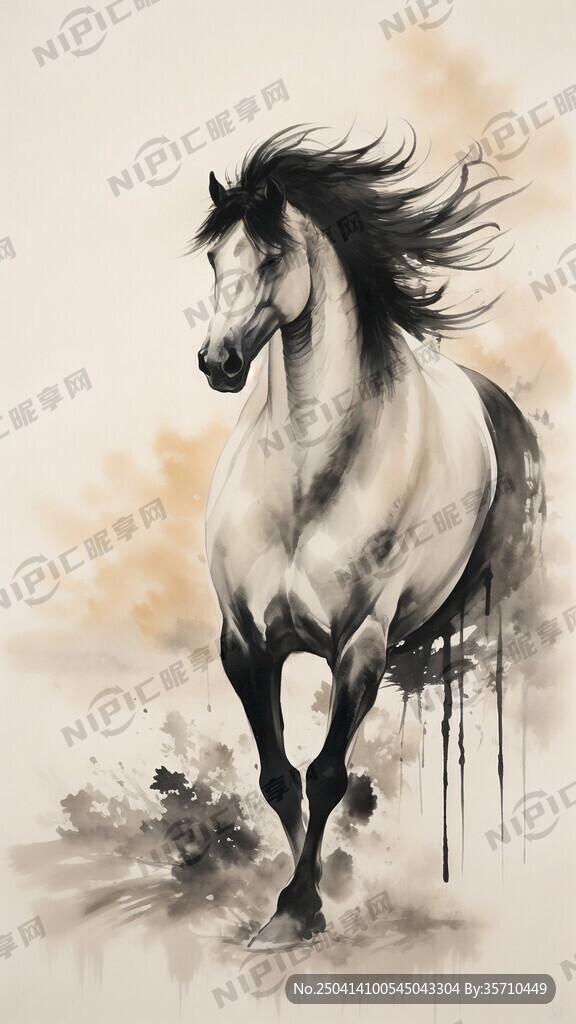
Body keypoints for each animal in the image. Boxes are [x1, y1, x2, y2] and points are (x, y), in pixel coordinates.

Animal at [191, 126, 545, 950]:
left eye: (272, 258)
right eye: (215, 259)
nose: (219, 362)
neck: (305, 479)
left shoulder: (361, 645)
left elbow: (326, 775)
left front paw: (300, 905)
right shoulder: (244, 644)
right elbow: (279, 777)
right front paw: (301, 903)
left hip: (489, 626)